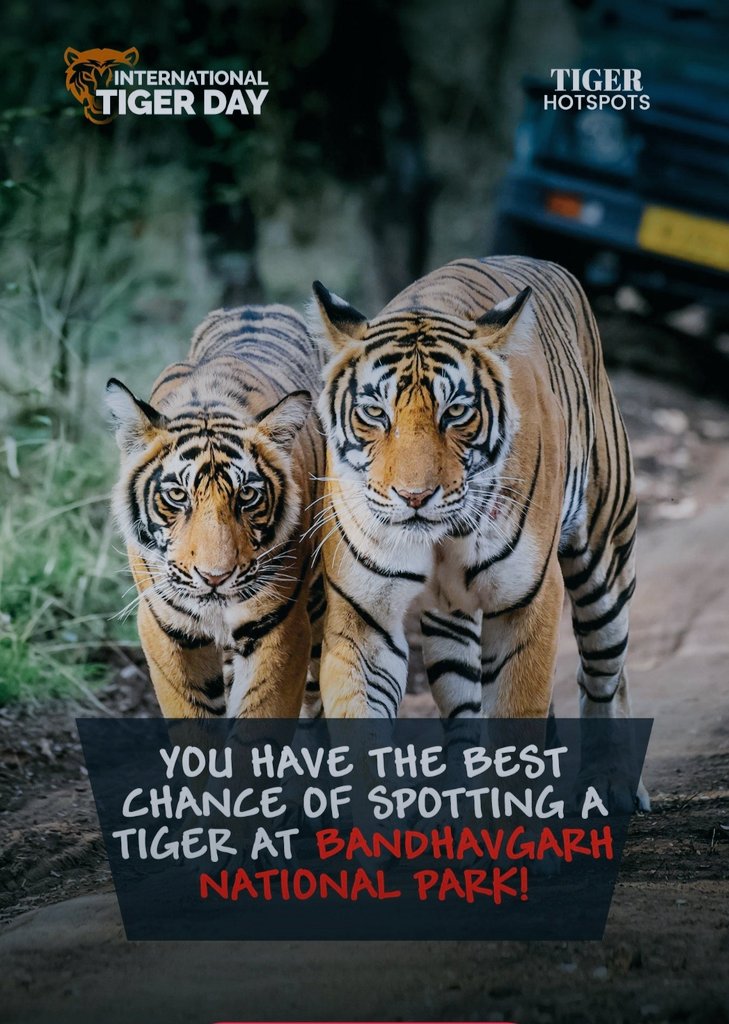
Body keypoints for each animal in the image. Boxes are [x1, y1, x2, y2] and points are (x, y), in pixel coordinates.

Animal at [310, 256, 649, 809]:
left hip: (605, 557)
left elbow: (516, 723)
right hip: (451, 618)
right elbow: (360, 739)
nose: (414, 497)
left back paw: (611, 785)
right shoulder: (363, 619)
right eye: (375, 413)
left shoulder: (527, 599)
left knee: (603, 671)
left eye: (456, 412)